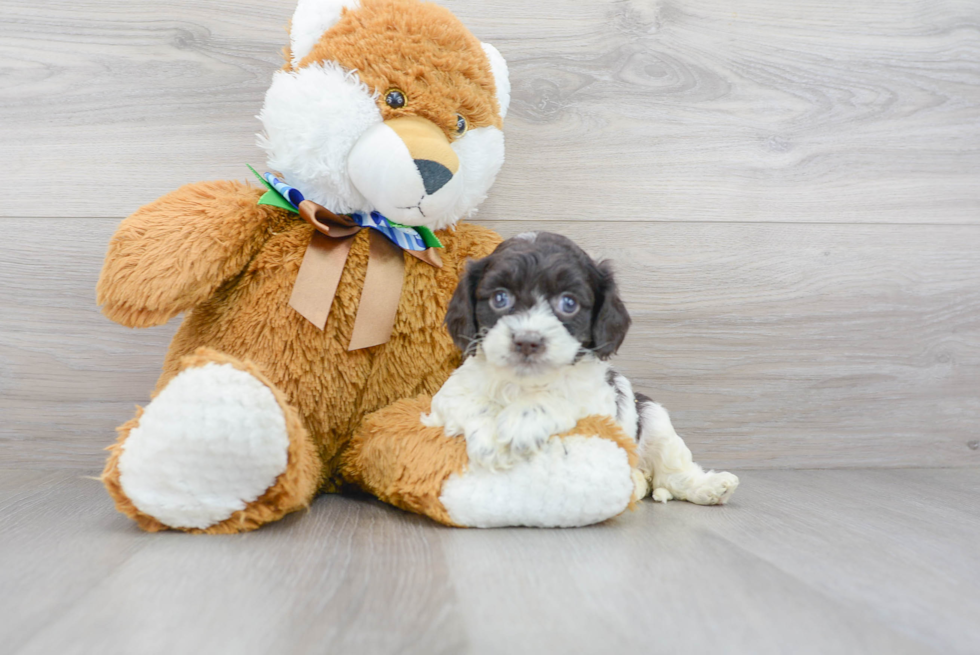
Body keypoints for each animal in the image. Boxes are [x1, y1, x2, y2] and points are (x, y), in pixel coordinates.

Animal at [424, 233, 740, 504]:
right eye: (500, 298)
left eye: (569, 303)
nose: (528, 341)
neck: (526, 383)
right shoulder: (447, 397)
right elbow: (473, 403)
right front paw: (491, 439)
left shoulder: (599, 404)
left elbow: (561, 398)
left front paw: (521, 422)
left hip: (654, 416)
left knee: (673, 471)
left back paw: (709, 487)